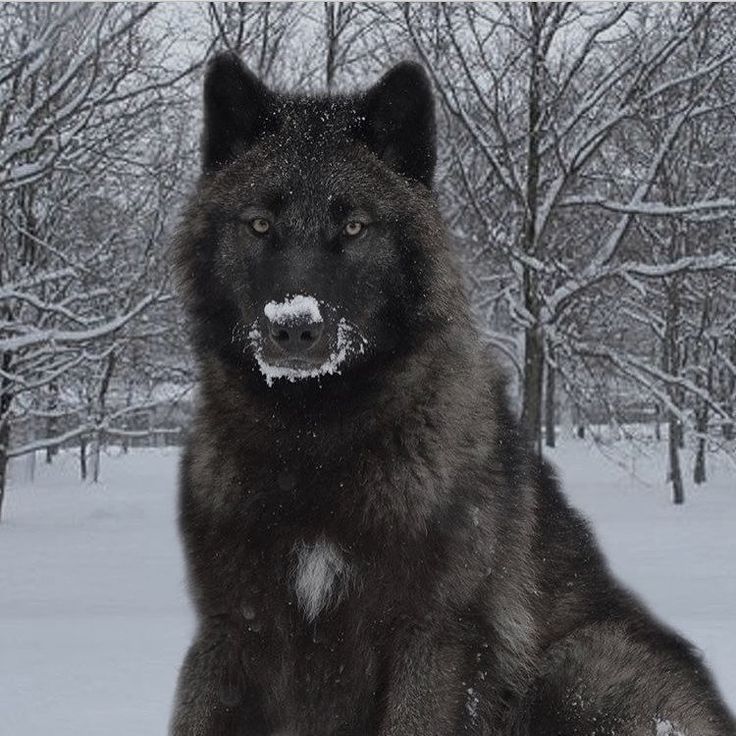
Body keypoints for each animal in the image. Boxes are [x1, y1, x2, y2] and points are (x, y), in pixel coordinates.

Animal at [168, 53, 736, 736]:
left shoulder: (432, 640)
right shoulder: (230, 634)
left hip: (581, 662)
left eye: (354, 226)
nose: (294, 326)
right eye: (259, 224)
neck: (315, 443)